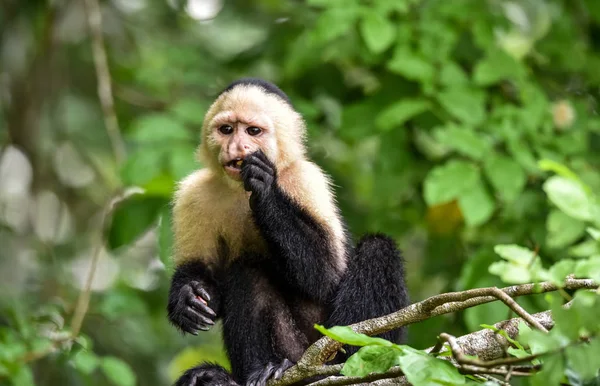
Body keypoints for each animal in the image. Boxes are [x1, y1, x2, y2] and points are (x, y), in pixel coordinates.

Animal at [165, 78, 408, 386]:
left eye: (253, 131)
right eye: (227, 129)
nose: (237, 146)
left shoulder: (305, 179)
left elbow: (324, 276)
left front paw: (265, 189)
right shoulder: (192, 194)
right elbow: (201, 272)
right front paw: (188, 298)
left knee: (378, 249)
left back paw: (346, 365)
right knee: (248, 270)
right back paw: (248, 373)